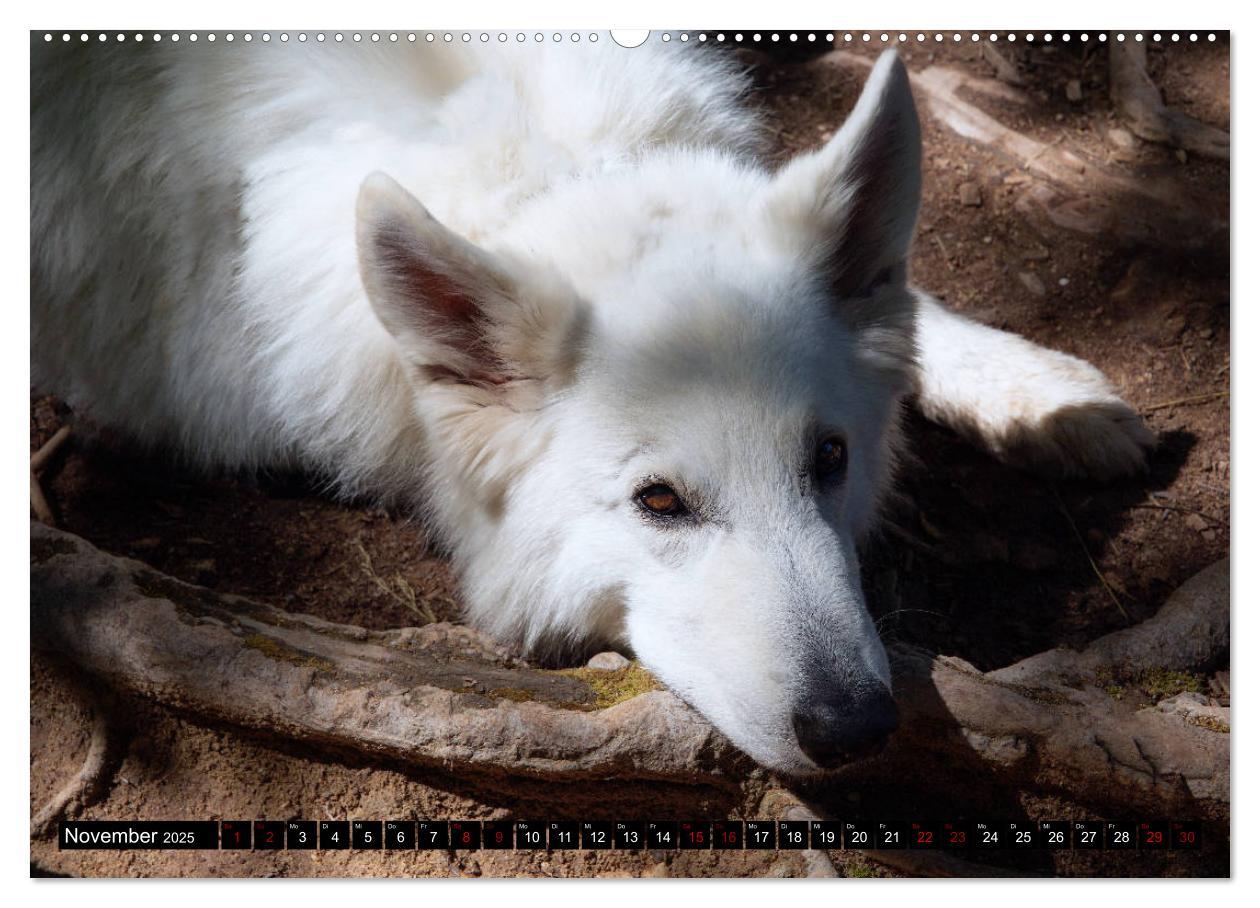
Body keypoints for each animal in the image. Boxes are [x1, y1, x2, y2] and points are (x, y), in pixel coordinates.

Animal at [29, 37, 1154, 770]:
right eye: (659, 502)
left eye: (829, 461)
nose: (857, 731)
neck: (540, 173)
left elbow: (916, 310)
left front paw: (1043, 393)